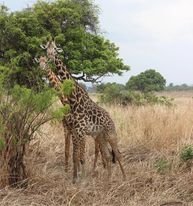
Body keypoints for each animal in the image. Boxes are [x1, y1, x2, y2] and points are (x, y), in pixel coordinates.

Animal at [40, 40, 126, 182]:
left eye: (55, 49)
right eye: (46, 49)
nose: (50, 57)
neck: (73, 101)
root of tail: (110, 118)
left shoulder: (80, 131)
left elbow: (81, 157)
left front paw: (82, 179)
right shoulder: (74, 130)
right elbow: (74, 155)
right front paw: (75, 178)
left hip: (111, 134)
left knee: (117, 154)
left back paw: (124, 178)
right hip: (100, 136)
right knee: (108, 155)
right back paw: (107, 179)